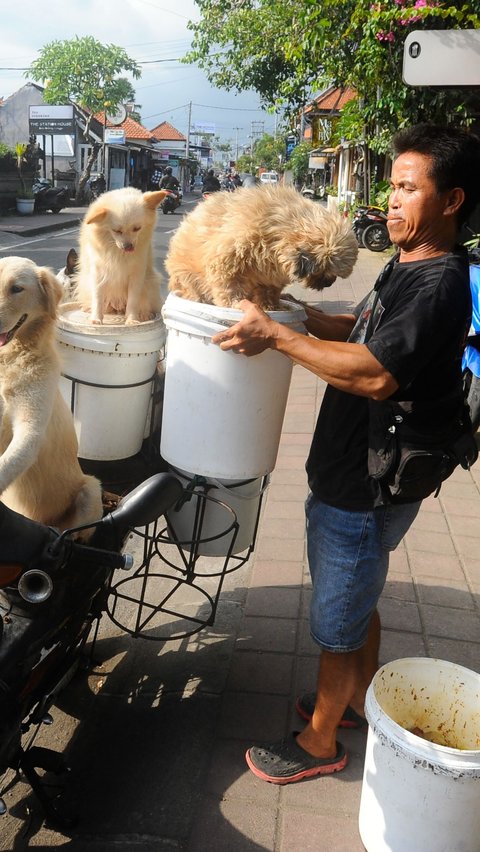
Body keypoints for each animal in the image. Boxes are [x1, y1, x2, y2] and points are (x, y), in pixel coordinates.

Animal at [74, 188, 166, 324]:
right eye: (116, 231)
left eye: (137, 228)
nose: (128, 247)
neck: (118, 252)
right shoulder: (98, 273)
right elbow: (98, 297)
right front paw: (96, 318)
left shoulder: (136, 275)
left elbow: (133, 300)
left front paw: (132, 320)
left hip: (150, 283)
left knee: (144, 303)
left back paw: (144, 314)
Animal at [167, 185, 358, 312]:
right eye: (325, 270)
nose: (330, 282)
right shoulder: (227, 259)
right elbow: (229, 284)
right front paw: (234, 304)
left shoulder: (271, 278)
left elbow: (269, 291)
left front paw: (271, 306)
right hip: (186, 274)